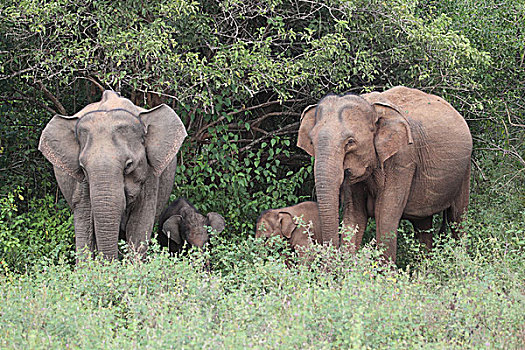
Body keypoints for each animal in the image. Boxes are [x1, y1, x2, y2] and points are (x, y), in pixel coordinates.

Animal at [39, 90, 186, 260]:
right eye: (82, 168)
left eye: (129, 165)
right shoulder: (81, 183)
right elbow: (84, 216)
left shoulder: (150, 173)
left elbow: (140, 223)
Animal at [296, 86, 472, 262]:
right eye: (311, 141)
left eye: (350, 142)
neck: (371, 106)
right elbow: (354, 216)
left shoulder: (403, 159)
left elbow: (385, 217)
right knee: (423, 225)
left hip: (465, 169)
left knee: (457, 218)